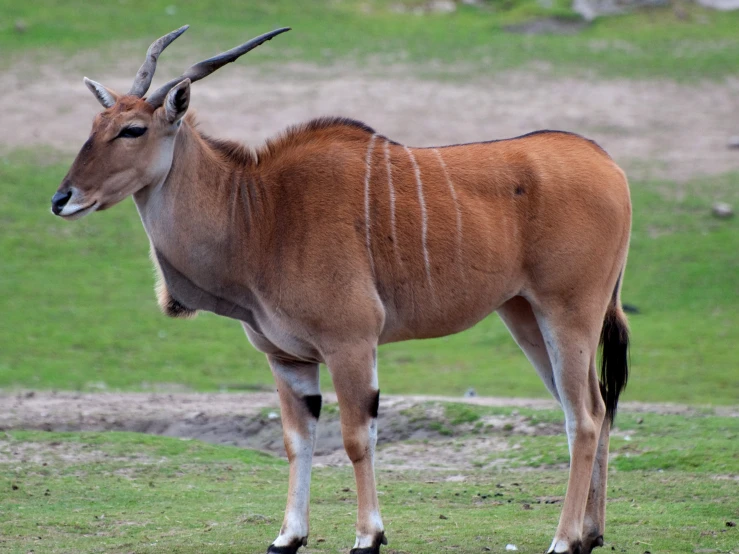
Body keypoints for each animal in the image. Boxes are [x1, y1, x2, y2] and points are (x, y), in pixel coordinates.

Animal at [52, 24, 632, 552]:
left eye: (132, 129)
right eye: (95, 123)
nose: (62, 199)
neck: (258, 214)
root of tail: (610, 165)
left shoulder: (350, 342)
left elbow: (356, 437)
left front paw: (368, 536)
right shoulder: (286, 357)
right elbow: (297, 441)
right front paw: (288, 536)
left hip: (568, 314)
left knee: (583, 418)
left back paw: (563, 541)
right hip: (525, 317)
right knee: (597, 407)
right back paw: (591, 533)